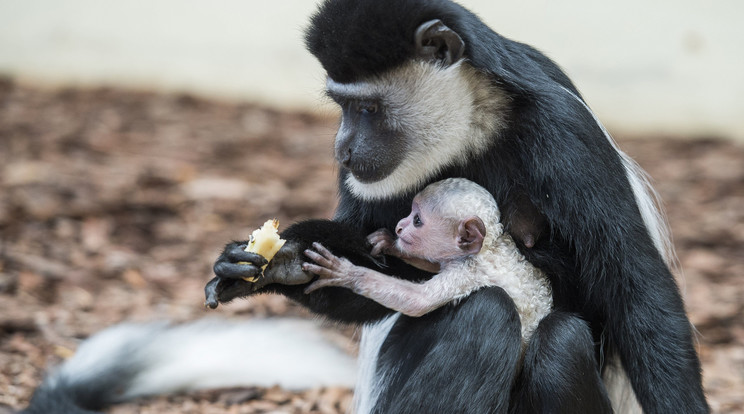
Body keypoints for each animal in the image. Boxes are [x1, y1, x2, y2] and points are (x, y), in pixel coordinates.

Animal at [302, 176, 552, 342]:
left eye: (417, 220)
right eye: (411, 215)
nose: (399, 227)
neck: (489, 245)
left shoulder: (467, 271)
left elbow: (417, 302)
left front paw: (345, 273)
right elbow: (434, 263)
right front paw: (391, 244)